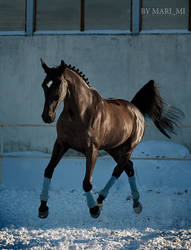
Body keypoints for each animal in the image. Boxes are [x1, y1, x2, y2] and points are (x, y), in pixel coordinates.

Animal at [38, 59, 183, 219]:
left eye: (58, 84)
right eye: (44, 84)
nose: (47, 117)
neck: (79, 113)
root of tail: (136, 110)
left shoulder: (92, 150)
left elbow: (87, 182)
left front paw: (93, 209)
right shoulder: (61, 144)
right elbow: (48, 170)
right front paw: (43, 208)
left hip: (128, 148)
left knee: (118, 170)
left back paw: (100, 202)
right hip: (113, 149)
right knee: (129, 167)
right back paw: (135, 203)